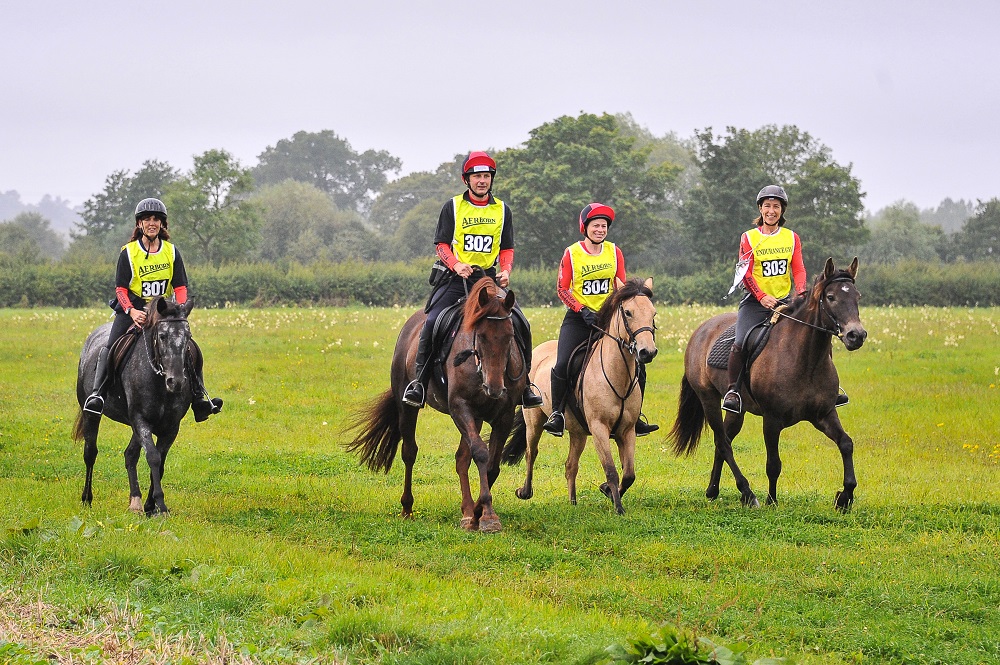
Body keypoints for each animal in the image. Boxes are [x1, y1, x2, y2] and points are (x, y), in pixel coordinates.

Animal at [344, 278, 528, 532]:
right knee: (409, 452)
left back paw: (467, 512)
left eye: (510, 335)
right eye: (480, 335)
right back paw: (407, 508)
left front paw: (478, 513)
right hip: (407, 406)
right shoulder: (460, 407)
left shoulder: (504, 415)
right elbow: (481, 453)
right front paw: (487, 515)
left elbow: (491, 465)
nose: (494, 388)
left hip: (478, 417)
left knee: (461, 459)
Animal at [504, 274, 660, 512]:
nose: (647, 352)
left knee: (571, 465)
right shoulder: (599, 429)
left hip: (577, 432)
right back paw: (525, 491)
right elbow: (612, 470)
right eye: (628, 312)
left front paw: (607, 491)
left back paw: (573, 502)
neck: (617, 375)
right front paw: (618, 508)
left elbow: (629, 473)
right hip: (534, 421)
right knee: (532, 453)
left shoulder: (627, 431)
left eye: (653, 313)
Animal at [672, 256, 868, 510]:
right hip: (709, 400)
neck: (805, 359)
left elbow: (846, 443)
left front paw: (845, 497)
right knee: (723, 443)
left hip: (737, 410)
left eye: (857, 297)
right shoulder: (772, 420)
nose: (857, 335)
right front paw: (771, 500)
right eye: (831, 297)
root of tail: (700, 331)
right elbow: (773, 464)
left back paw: (713, 490)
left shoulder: (824, 414)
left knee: (723, 441)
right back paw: (747, 493)